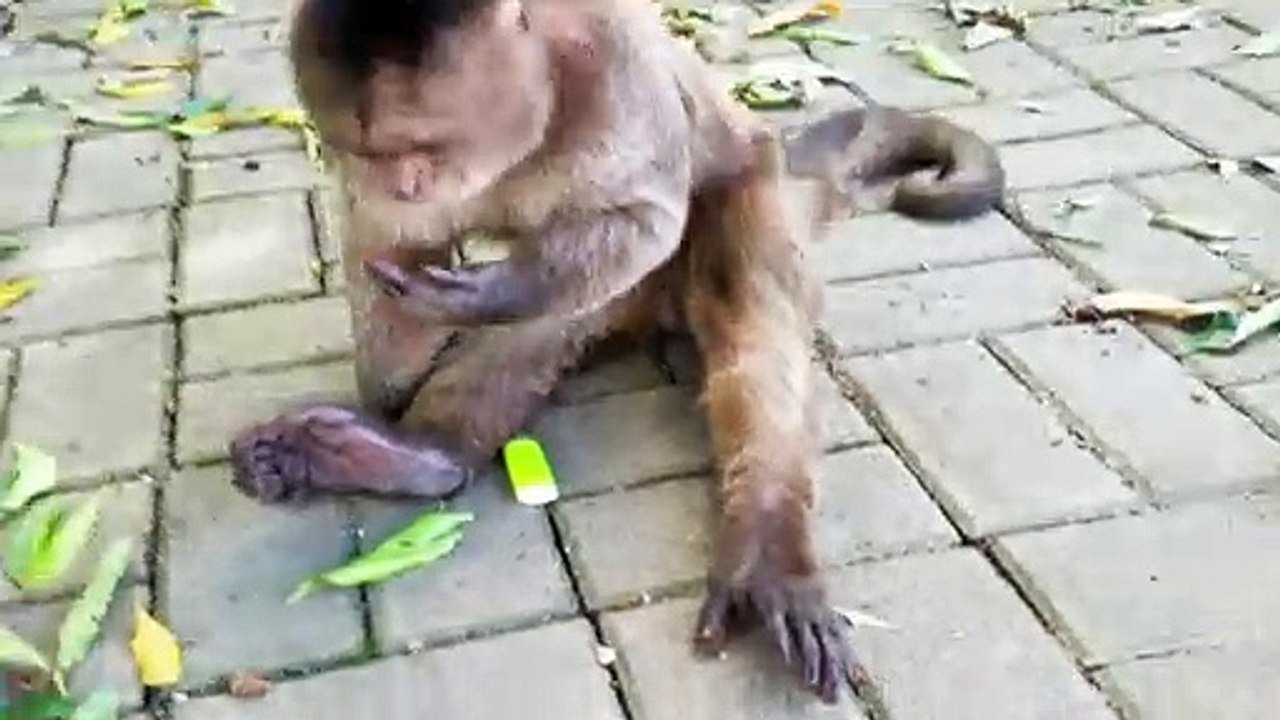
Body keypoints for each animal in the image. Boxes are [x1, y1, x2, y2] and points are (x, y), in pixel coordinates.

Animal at [227, 0, 1005, 703]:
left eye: (427, 147)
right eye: (374, 152)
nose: (405, 182)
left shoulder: (612, 73)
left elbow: (645, 221)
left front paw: (489, 294)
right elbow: (385, 242)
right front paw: (388, 396)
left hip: (753, 193)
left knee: (747, 320)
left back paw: (765, 531)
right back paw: (410, 456)